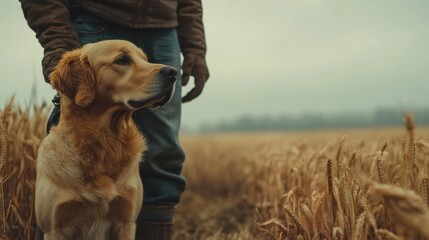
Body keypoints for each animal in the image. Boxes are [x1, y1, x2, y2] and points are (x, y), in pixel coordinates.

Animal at [34, 39, 176, 240]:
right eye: (122, 59)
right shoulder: (55, 227)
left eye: (145, 59)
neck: (104, 140)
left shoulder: (126, 222)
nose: (173, 72)